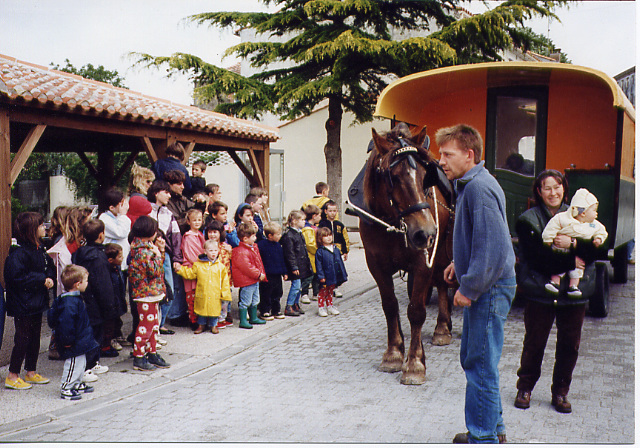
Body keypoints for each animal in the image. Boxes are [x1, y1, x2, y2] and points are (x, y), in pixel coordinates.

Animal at [360, 122, 456, 384]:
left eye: (425, 176)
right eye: (392, 177)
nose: (426, 232)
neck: (392, 224)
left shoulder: (423, 262)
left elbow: (416, 311)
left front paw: (414, 363)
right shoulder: (376, 264)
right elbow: (390, 305)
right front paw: (394, 353)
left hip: (443, 251)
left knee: (444, 283)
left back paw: (442, 327)